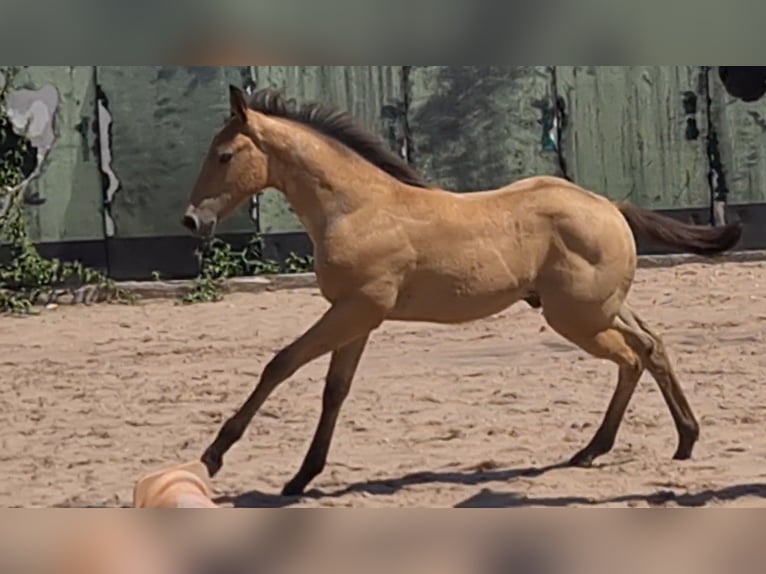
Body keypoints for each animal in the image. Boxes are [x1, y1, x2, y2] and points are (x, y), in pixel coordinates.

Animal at [183, 85, 748, 500]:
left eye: (225, 154)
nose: (192, 221)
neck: (356, 207)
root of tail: (609, 205)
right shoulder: (357, 317)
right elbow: (334, 390)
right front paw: (302, 476)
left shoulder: (356, 309)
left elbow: (280, 363)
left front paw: (214, 455)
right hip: (601, 308)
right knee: (652, 345)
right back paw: (675, 439)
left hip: (579, 318)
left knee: (634, 354)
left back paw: (603, 447)